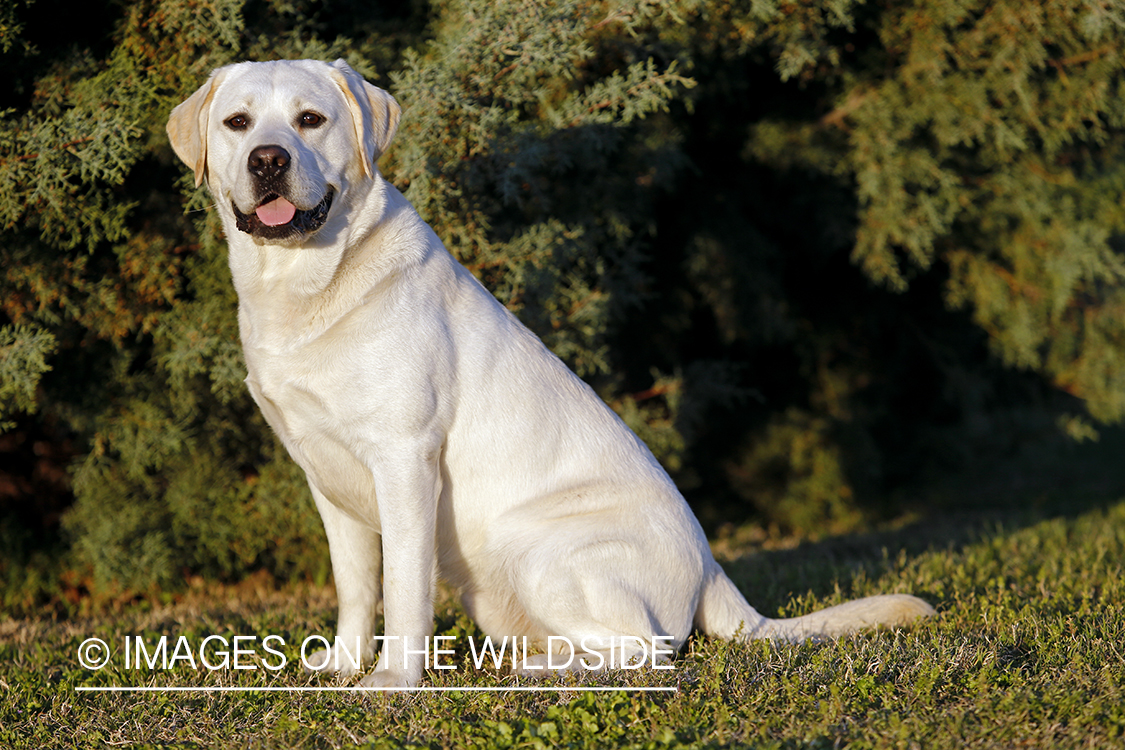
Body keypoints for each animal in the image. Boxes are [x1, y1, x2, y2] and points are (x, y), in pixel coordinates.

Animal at [164, 61, 931, 688]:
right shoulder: (326, 478)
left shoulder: (404, 460)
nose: (267, 160)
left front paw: (392, 684)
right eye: (238, 123)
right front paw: (346, 664)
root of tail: (713, 565)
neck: (305, 284)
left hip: (539, 549)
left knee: (649, 651)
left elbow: (404, 585)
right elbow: (357, 586)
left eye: (309, 120)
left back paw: (535, 670)